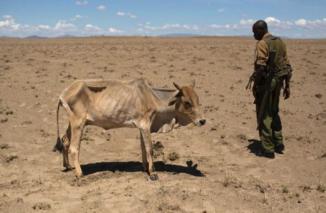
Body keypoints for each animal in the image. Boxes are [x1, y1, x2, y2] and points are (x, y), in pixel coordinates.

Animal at [53, 78, 206, 180]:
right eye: (187, 102)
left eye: (198, 100)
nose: (202, 120)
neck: (153, 97)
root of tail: (63, 94)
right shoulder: (145, 124)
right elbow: (150, 148)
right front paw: (153, 173)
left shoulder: (142, 127)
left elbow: (143, 148)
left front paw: (145, 168)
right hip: (78, 123)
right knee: (74, 148)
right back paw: (79, 173)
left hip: (73, 123)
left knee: (65, 141)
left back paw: (67, 166)